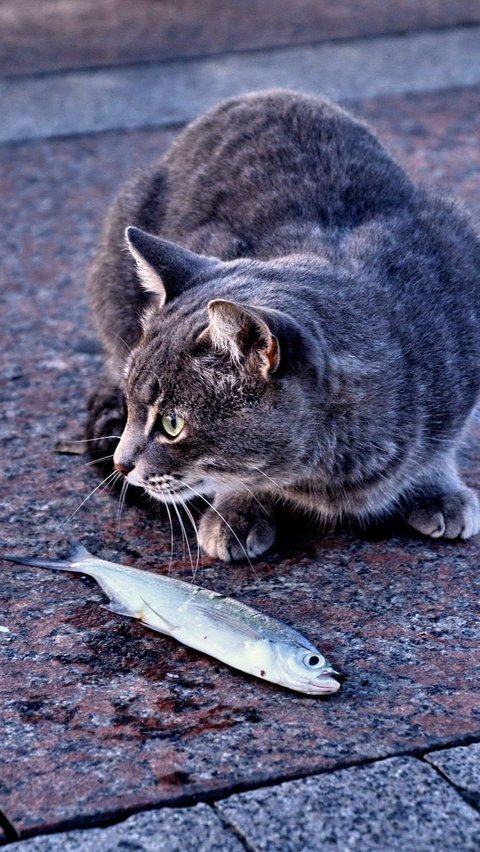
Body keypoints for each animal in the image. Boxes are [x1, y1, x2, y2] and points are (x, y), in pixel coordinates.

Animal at [86, 90, 480, 564]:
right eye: (131, 406)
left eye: (172, 425)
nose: (120, 464)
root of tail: (258, 95)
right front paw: (237, 509)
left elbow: (442, 445)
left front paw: (437, 487)